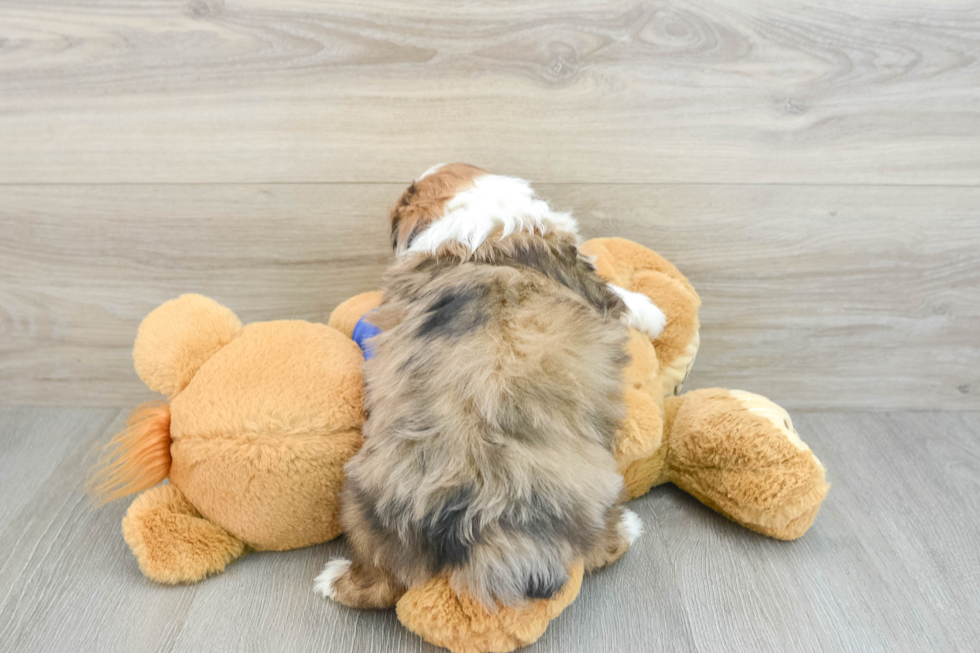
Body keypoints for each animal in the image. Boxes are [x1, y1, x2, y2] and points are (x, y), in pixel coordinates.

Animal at [314, 166, 668, 608]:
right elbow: (623, 298)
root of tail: (479, 519)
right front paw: (655, 313)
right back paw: (628, 528)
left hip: (364, 506)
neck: (474, 214)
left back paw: (335, 579)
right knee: (596, 549)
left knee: (381, 582)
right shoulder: (591, 284)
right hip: (597, 491)